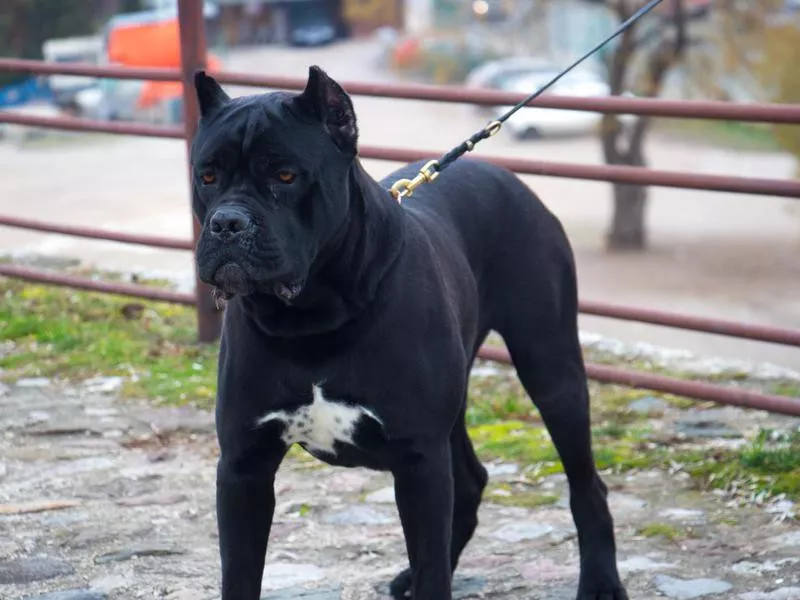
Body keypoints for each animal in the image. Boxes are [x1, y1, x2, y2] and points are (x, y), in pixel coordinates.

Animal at [191, 67, 628, 600]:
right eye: (207, 176)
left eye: (285, 176)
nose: (227, 223)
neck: (312, 316)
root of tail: (504, 176)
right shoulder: (243, 466)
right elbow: (239, 572)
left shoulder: (419, 462)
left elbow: (432, 567)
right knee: (471, 480)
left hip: (551, 369)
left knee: (586, 484)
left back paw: (602, 581)